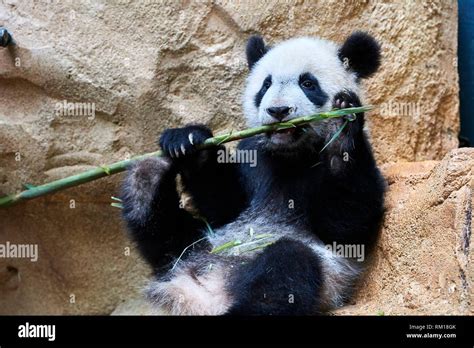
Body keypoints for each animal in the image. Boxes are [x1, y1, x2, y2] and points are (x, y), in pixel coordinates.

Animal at [121, 32, 386, 316]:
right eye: (265, 85)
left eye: (308, 83)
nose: (278, 111)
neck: (290, 153)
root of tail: (203, 293)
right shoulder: (252, 156)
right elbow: (223, 206)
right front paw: (189, 142)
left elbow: (348, 224)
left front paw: (342, 123)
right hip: (195, 248)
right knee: (165, 238)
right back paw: (146, 180)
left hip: (325, 276)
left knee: (286, 268)